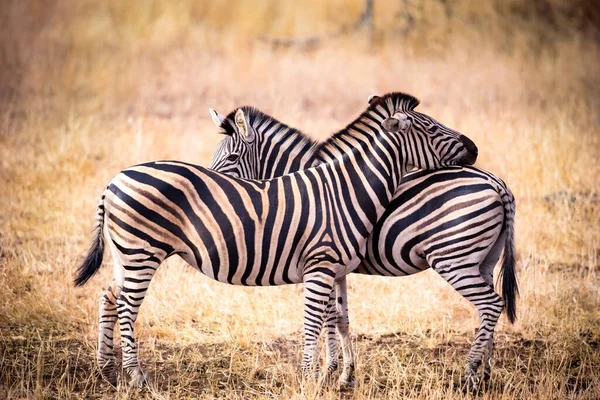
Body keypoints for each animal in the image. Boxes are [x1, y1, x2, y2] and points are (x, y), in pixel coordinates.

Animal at [75, 93, 478, 388]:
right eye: (430, 128)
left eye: (231, 159)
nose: (473, 148)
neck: (345, 188)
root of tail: (114, 180)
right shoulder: (321, 263)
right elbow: (320, 320)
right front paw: (318, 377)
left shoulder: (333, 268)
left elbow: (337, 318)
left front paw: (334, 376)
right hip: (140, 252)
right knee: (125, 305)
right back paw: (136, 377)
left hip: (127, 255)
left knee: (109, 297)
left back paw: (108, 371)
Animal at [209, 98, 516, 390]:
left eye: (232, 157)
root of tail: (496, 182)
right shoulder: (335, 267)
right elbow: (341, 319)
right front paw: (344, 375)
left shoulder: (321, 260)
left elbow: (328, 318)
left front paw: (328, 373)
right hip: (484, 260)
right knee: (487, 310)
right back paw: (485, 375)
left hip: (454, 258)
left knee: (490, 304)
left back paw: (470, 374)